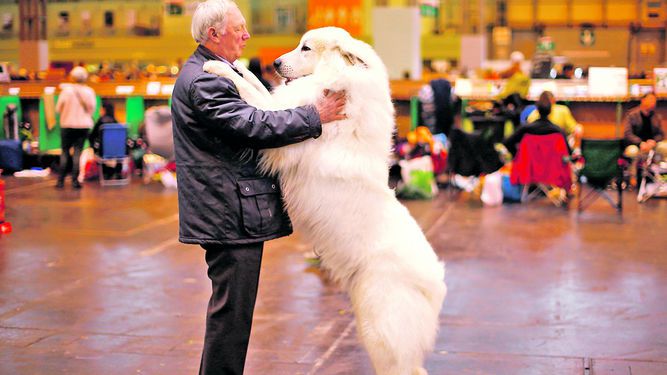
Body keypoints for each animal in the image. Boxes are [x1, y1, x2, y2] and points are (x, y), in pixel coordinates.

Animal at [201, 27, 446, 375]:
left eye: (306, 48)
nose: (275, 63)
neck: (340, 81)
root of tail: (437, 284)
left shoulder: (282, 126)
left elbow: (256, 98)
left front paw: (217, 68)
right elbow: (256, 86)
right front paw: (238, 67)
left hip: (380, 333)